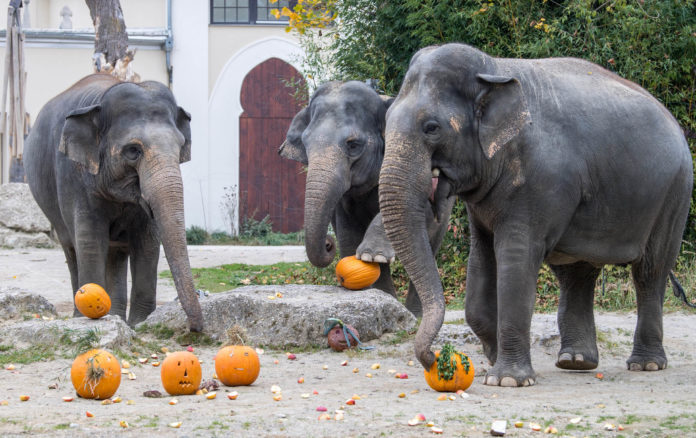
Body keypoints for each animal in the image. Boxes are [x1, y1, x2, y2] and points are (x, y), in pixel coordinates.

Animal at [24, 73, 203, 330]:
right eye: (133, 151)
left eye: (180, 148)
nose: (195, 328)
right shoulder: (73, 176)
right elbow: (90, 239)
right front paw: (90, 318)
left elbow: (147, 241)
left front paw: (140, 324)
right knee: (72, 248)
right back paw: (83, 315)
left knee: (116, 253)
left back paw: (117, 316)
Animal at [280, 81, 454, 314]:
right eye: (305, 144)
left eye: (353, 144)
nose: (328, 243)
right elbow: (347, 227)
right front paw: (365, 260)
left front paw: (371, 255)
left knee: (430, 246)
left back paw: (414, 313)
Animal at [378, 43, 692, 386]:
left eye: (432, 128)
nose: (433, 359)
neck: (493, 68)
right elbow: (481, 262)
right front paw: (493, 358)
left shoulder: (539, 181)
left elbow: (516, 258)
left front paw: (507, 380)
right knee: (577, 274)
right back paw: (575, 362)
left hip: (674, 193)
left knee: (650, 270)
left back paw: (645, 364)